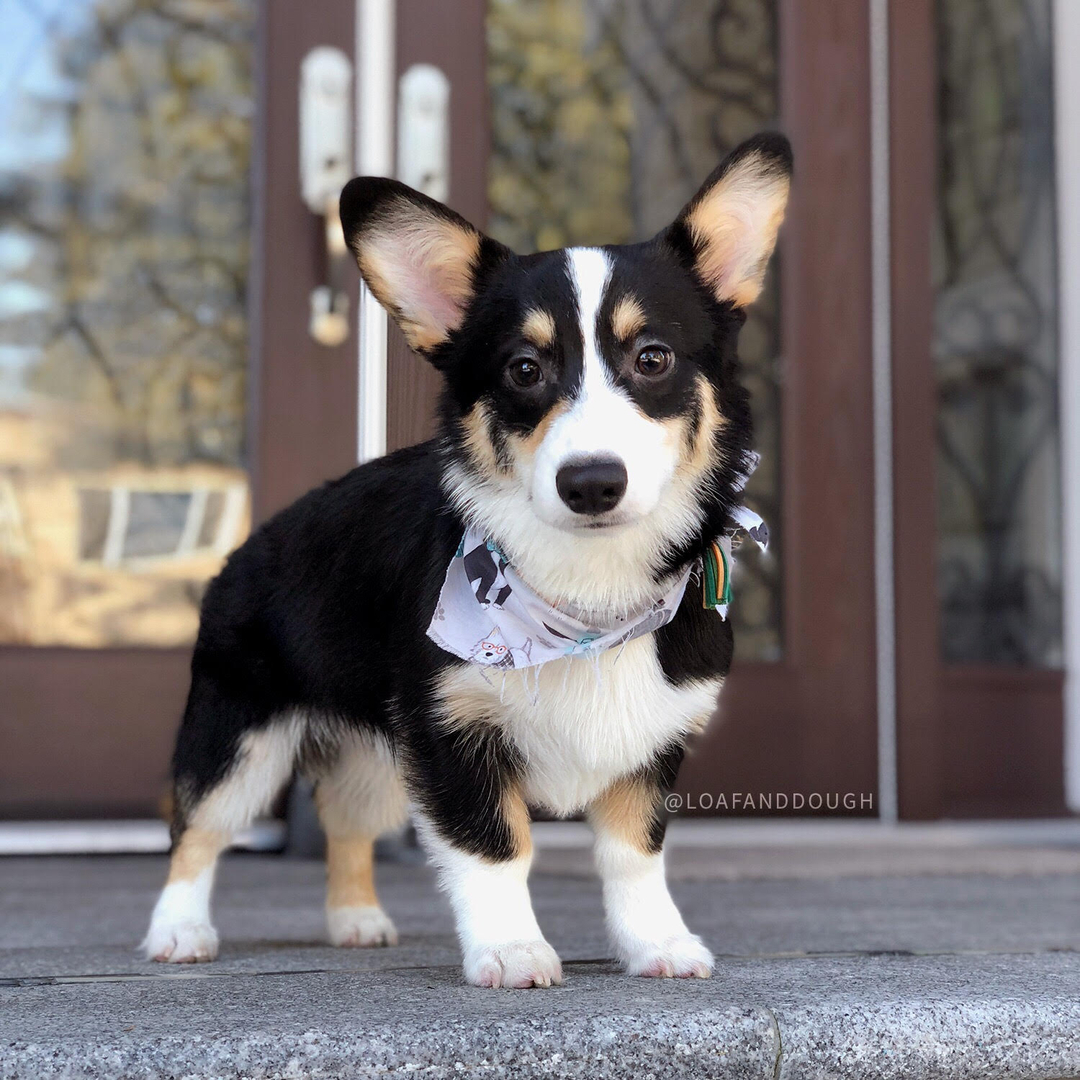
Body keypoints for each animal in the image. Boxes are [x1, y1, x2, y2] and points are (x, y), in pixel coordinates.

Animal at [139, 132, 790, 989]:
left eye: (653, 359)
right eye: (523, 369)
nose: (591, 482)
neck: (584, 600)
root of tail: (250, 540)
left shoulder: (649, 741)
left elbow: (633, 854)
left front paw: (657, 943)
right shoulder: (451, 734)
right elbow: (494, 847)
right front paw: (511, 951)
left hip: (374, 759)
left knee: (345, 824)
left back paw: (356, 920)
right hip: (239, 738)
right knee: (197, 827)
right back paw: (178, 931)